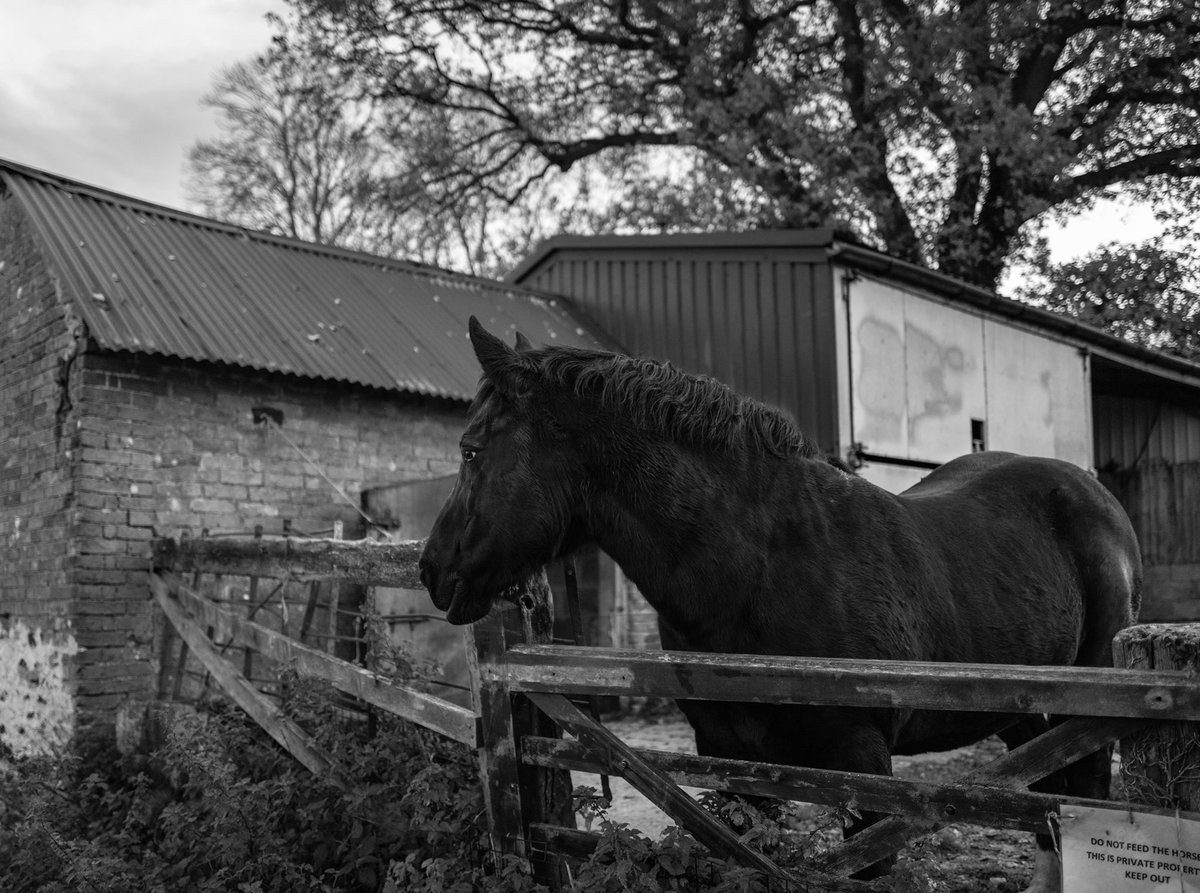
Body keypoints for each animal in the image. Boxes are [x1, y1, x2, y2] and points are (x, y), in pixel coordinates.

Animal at [419, 317, 1141, 893]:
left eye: (471, 449)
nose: (432, 570)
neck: (759, 570)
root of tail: (1095, 494)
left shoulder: (864, 768)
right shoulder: (733, 764)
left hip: (1087, 701)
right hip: (1020, 710)